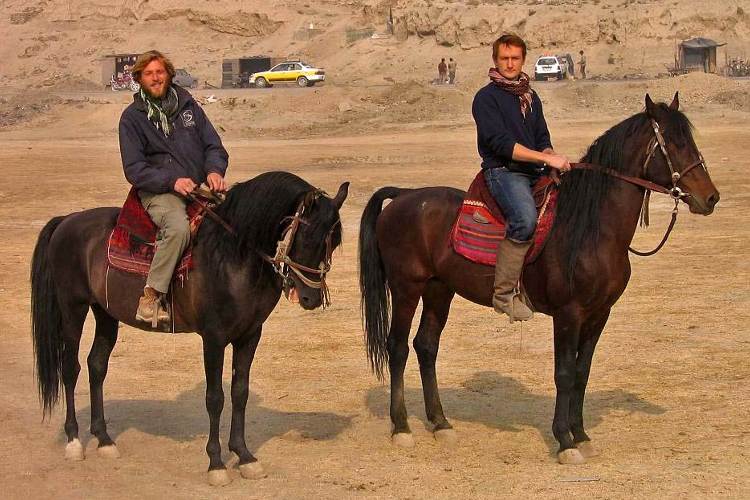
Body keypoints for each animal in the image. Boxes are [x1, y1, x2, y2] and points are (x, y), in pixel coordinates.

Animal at [31, 171, 349, 485]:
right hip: (73, 308)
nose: (310, 298)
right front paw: (216, 463)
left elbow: (240, 393)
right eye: (307, 237)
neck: (231, 257)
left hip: (105, 313)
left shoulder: (249, 336)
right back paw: (74, 441)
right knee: (70, 369)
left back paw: (105, 440)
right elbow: (215, 398)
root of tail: (68, 220)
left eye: (332, 243)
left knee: (96, 366)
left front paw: (244, 456)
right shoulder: (214, 338)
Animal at [358, 94, 720, 464]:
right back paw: (401, 427)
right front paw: (565, 440)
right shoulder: (568, 314)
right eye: (673, 143)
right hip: (406, 288)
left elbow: (582, 373)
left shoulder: (599, 314)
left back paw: (441, 423)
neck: (592, 230)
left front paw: (581, 434)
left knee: (426, 346)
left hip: (438, 290)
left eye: (689, 140)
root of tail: (404, 195)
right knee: (397, 347)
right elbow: (564, 373)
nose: (710, 198)